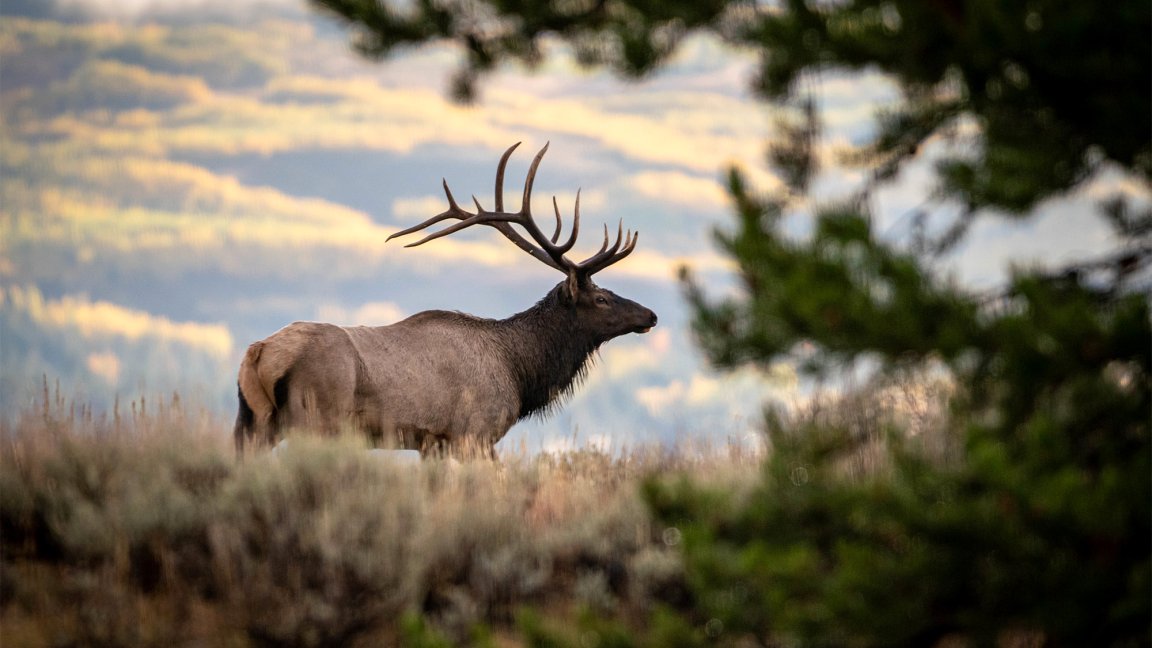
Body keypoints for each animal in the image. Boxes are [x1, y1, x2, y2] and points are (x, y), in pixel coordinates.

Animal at [233, 142, 658, 459]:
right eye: (601, 298)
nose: (650, 315)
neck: (519, 373)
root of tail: (258, 353)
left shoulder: (431, 443)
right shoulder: (474, 433)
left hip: (253, 421)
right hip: (315, 419)